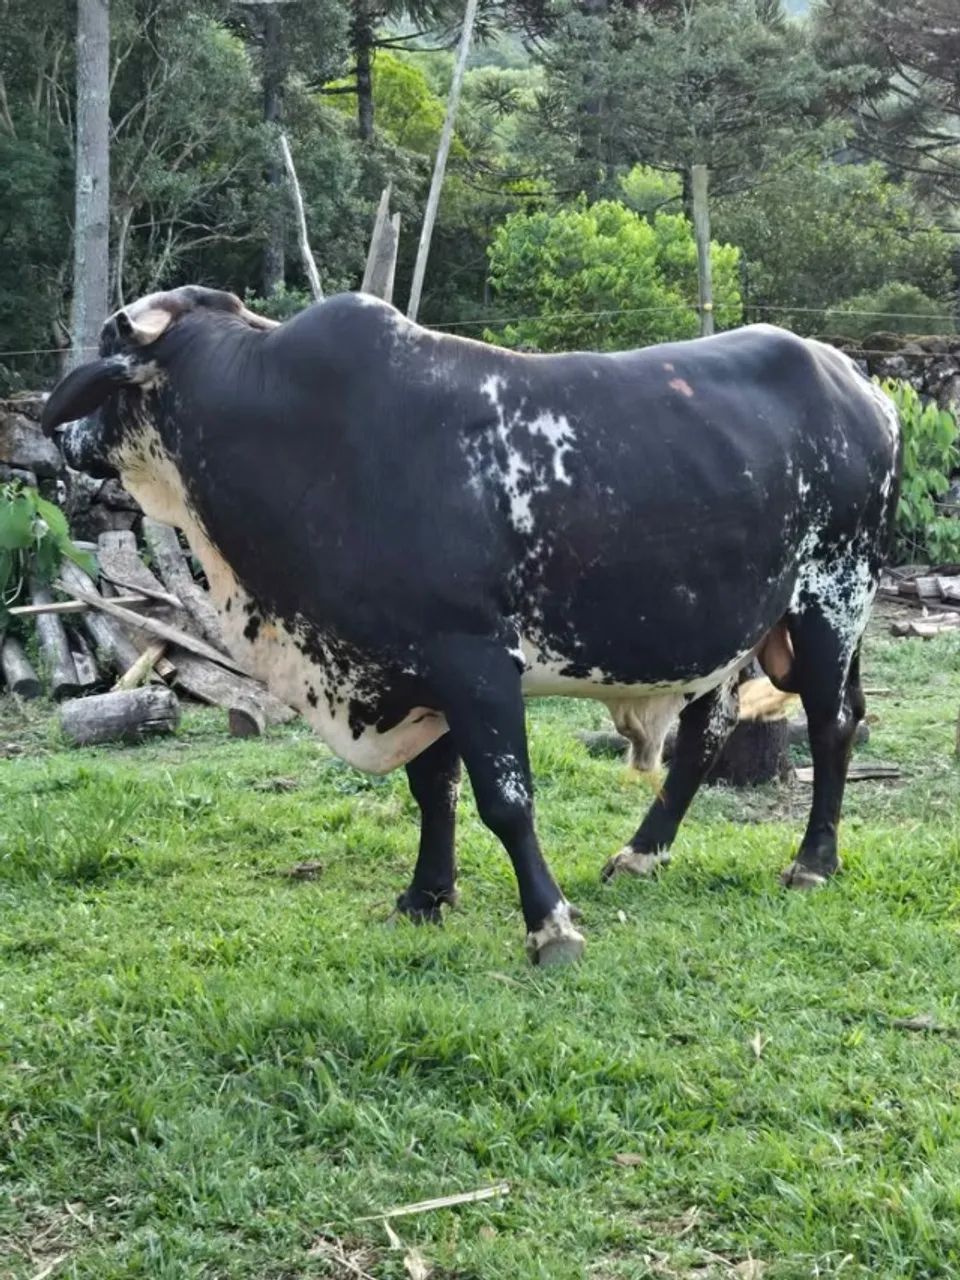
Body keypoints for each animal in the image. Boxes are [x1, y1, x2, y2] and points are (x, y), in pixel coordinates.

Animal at [41, 286, 901, 965]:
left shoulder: (473, 660)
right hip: (732, 633)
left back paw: (812, 861)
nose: (59, 441)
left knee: (833, 724)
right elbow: (435, 791)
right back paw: (641, 853)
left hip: (832, 600)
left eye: (107, 346)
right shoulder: (416, 668)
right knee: (709, 729)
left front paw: (550, 927)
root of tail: (860, 381)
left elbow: (503, 799)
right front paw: (425, 896)